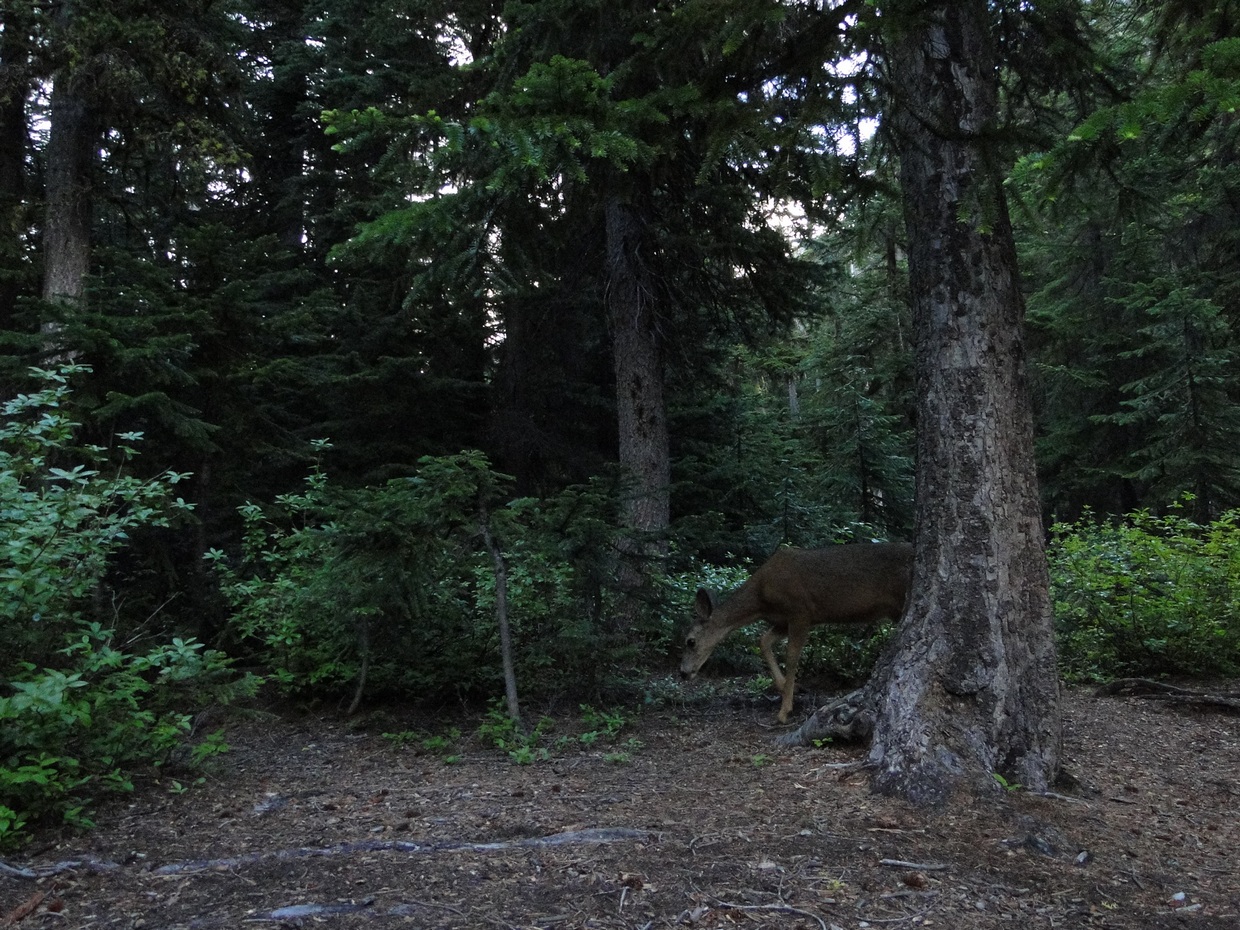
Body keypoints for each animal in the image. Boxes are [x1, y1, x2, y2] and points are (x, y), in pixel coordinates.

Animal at [679, 542, 914, 723]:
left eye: (690, 641)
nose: (683, 672)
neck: (760, 600)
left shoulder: (800, 612)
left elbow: (792, 655)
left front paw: (784, 710)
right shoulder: (782, 621)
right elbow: (763, 641)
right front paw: (787, 687)